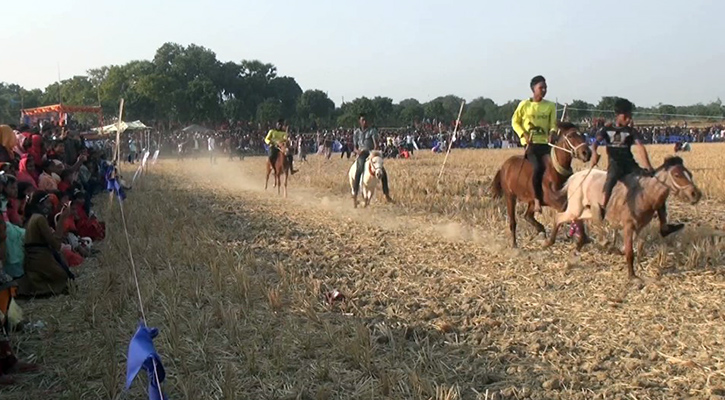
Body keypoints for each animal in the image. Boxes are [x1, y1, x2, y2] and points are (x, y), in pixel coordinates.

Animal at [544, 156, 700, 282]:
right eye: (677, 174)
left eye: (690, 174)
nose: (696, 194)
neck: (643, 194)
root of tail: (574, 177)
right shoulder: (628, 226)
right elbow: (630, 252)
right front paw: (632, 276)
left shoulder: (639, 228)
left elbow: (633, 249)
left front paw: (616, 251)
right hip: (575, 208)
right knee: (558, 217)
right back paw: (549, 242)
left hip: (586, 210)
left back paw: (578, 247)